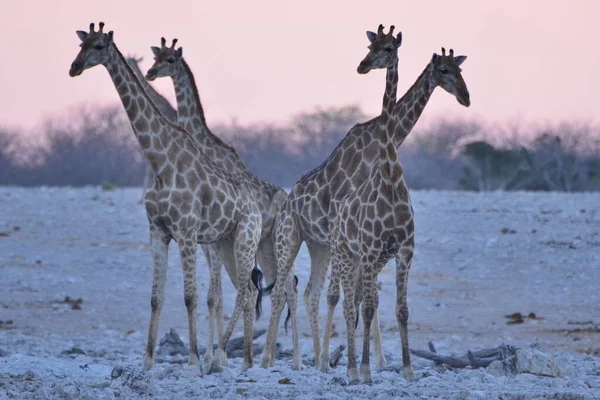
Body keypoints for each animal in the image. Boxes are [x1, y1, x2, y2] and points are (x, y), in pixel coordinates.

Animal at [144, 39, 302, 370]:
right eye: (156, 56)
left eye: (170, 59)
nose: (150, 73)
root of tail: (286, 198)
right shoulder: (211, 240)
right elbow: (214, 296)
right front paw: (213, 355)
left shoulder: (211, 240)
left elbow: (214, 294)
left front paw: (214, 356)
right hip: (264, 247)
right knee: (281, 288)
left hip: (275, 244)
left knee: (288, 289)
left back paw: (290, 360)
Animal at [266, 31, 468, 378]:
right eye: (443, 69)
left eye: (459, 69)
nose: (466, 97)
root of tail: (287, 201)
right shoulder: (349, 229)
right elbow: (345, 297)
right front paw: (350, 363)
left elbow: (362, 298)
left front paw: (379, 362)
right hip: (291, 239)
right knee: (284, 291)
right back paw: (274, 360)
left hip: (319, 246)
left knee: (309, 293)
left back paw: (313, 358)